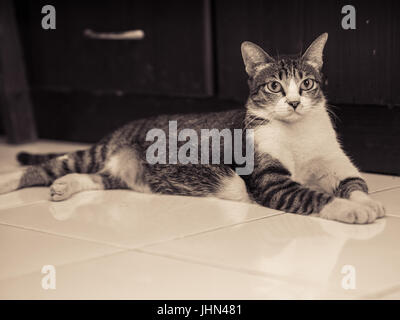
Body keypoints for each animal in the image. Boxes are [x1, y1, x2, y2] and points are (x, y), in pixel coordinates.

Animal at [0, 32, 388, 222]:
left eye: (306, 84)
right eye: (274, 87)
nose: (294, 103)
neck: (298, 133)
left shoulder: (335, 163)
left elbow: (355, 182)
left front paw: (368, 202)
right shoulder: (271, 181)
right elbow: (312, 195)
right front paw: (352, 210)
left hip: (125, 175)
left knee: (98, 178)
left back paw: (66, 186)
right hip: (98, 151)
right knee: (51, 166)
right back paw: (11, 181)